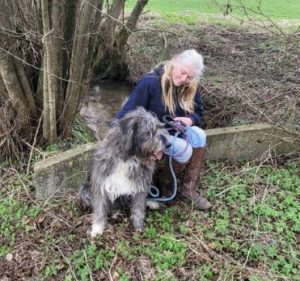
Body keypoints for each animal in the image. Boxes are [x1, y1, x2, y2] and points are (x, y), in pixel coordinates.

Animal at [79, 106, 169, 235]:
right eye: (148, 132)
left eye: (158, 128)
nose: (168, 143)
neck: (129, 157)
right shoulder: (101, 183)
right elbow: (100, 208)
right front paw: (97, 229)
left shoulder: (140, 184)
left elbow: (138, 207)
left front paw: (138, 226)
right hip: (84, 190)